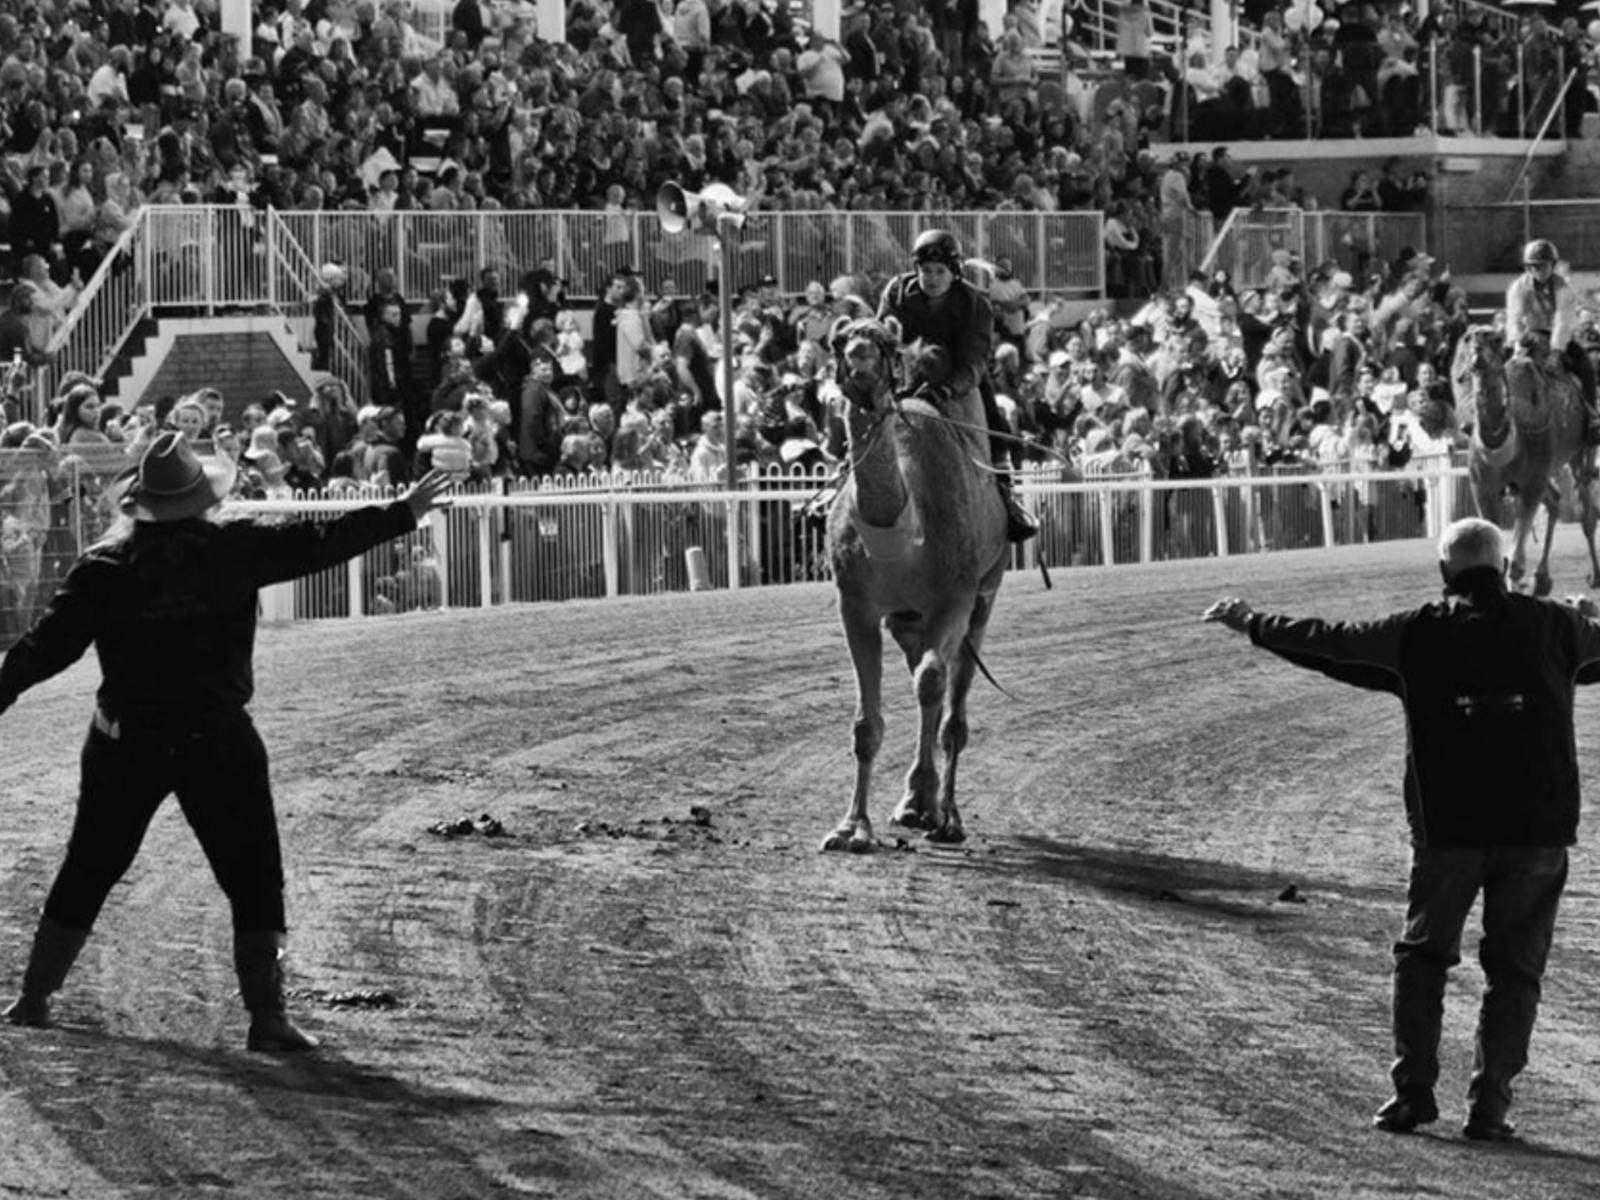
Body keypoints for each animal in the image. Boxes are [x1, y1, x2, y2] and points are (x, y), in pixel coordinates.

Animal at [819, 315, 1004, 851]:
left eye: (885, 342)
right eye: (839, 341)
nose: (859, 360)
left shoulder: (953, 600)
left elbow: (931, 685)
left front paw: (936, 814)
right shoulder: (856, 605)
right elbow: (865, 725)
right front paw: (852, 827)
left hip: (984, 595)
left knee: (950, 704)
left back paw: (944, 813)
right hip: (906, 620)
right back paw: (913, 803)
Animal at [1452, 326, 1600, 595]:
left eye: (1496, 339)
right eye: (1467, 338)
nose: (1478, 346)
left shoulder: (1532, 481)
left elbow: (1516, 563)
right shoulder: (1482, 487)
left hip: (1579, 451)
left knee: (1587, 513)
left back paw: (1593, 576)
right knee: (1555, 501)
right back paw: (1542, 580)